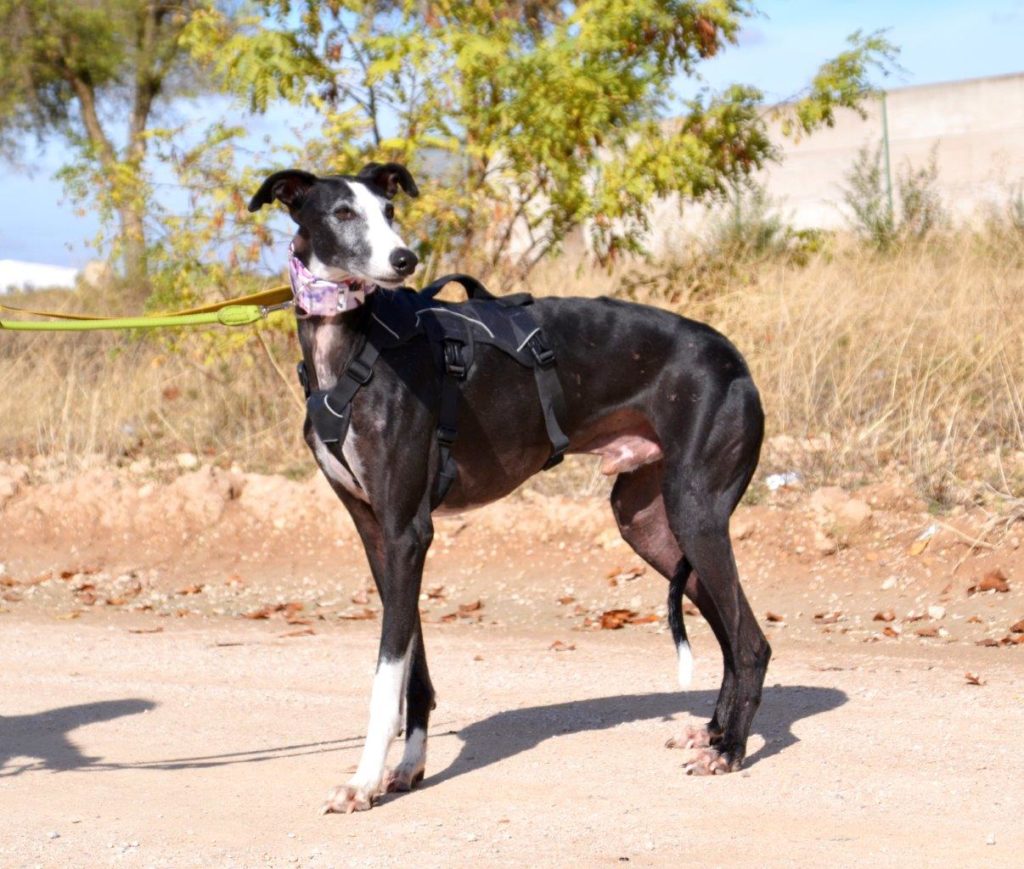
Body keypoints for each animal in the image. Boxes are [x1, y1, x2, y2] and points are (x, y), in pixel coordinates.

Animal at [247, 164, 770, 814]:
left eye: (389, 211)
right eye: (342, 213)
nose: (404, 259)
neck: (353, 344)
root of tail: (734, 357)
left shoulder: (407, 531)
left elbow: (386, 675)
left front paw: (363, 782)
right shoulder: (379, 534)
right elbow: (412, 666)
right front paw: (409, 766)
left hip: (695, 510)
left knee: (749, 642)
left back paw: (731, 750)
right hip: (649, 521)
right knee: (728, 631)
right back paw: (716, 732)